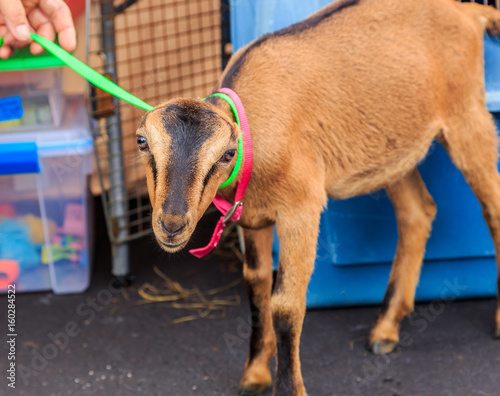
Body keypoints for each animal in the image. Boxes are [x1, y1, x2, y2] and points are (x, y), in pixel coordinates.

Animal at [136, 0, 500, 396]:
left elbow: (284, 303)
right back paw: (386, 327)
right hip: (393, 149)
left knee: (492, 208)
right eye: (142, 142)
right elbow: (257, 287)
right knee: (418, 211)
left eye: (226, 154)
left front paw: (288, 387)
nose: (172, 224)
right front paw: (255, 375)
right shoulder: (251, 217)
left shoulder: (301, 208)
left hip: (467, 118)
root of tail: (468, 13)